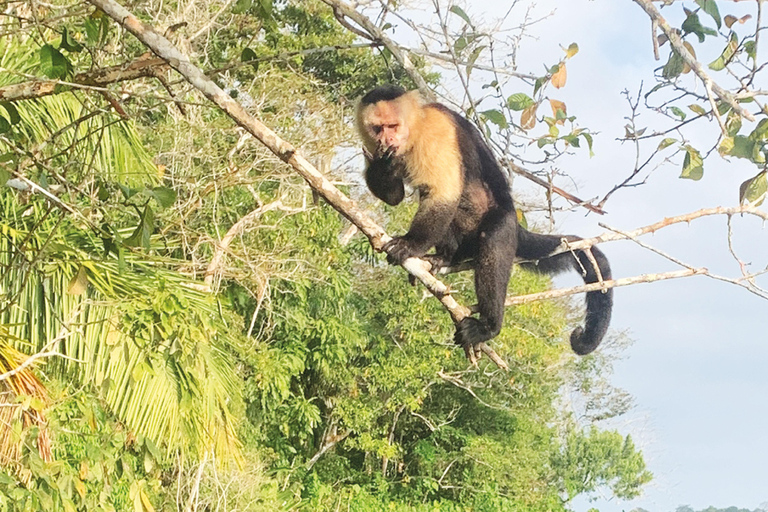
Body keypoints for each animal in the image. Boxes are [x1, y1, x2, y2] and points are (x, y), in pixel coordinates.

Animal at [356, 85, 616, 356]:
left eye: (393, 126)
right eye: (378, 129)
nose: (387, 140)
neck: (414, 133)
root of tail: (516, 222)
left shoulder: (437, 129)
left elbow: (442, 195)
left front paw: (410, 244)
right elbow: (395, 197)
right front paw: (382, 166)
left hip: (504, 223)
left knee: (492, 243)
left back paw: (489, 326)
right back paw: (446, 257)